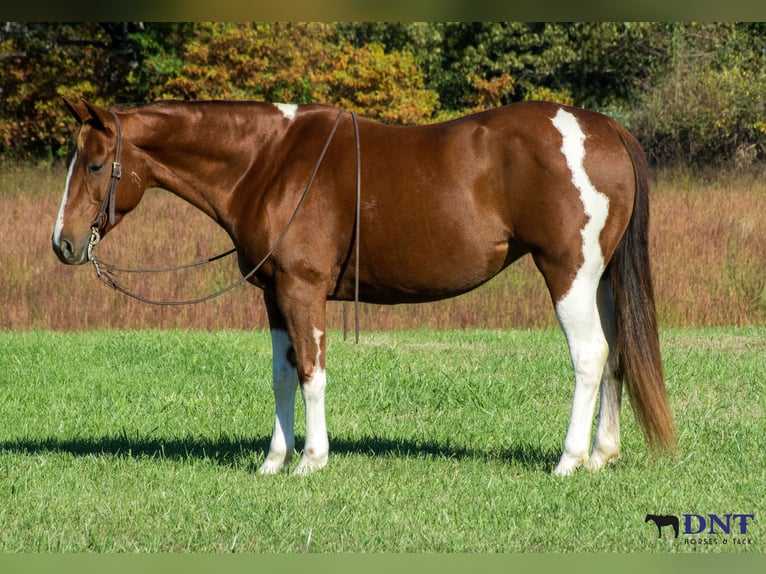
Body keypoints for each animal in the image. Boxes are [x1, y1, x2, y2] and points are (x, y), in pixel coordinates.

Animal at [52, 98, 676, 476]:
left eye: (94, 163)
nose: (63, 243)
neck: (267, 162)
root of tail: (603, 127)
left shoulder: (302, 290)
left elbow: (312, 373)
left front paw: (312, 460)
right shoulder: (273, 294)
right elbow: (282, 376)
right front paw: (273, 461)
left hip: (568, 272)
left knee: (590, 356)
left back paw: (569, 460)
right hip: (600, 280)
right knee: (617, 354)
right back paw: (602, 454)